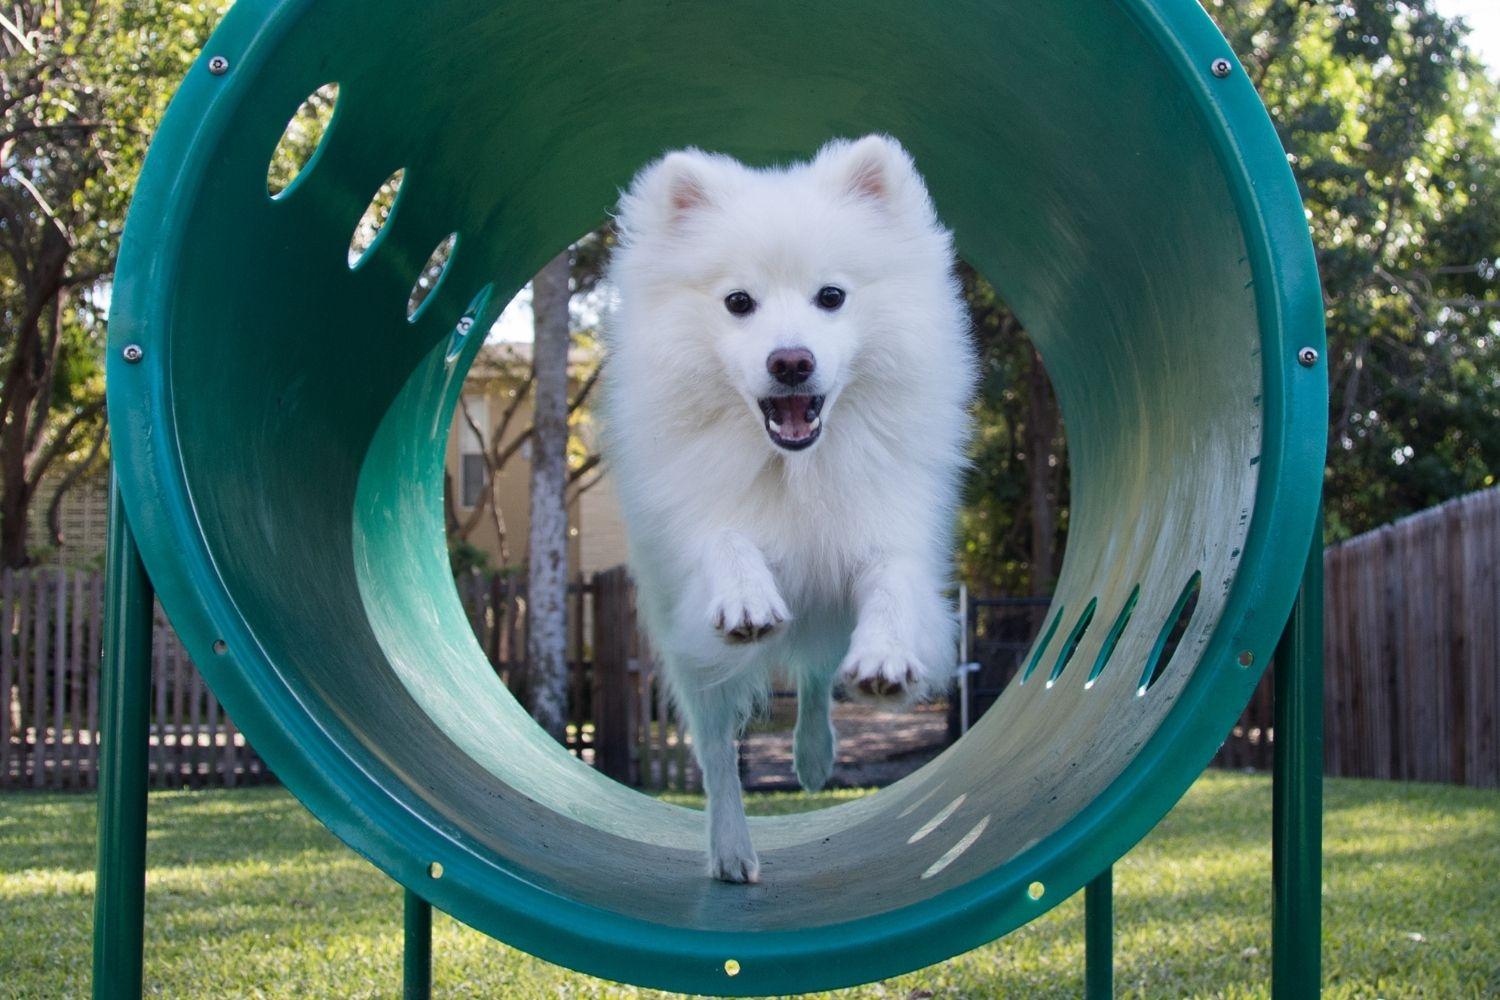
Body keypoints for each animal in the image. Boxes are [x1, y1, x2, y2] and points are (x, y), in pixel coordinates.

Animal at [603, 134, 978, 881]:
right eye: (738, 301)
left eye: (831, 297)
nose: (791, 362)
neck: (796, 466)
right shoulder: (700, 525)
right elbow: (725, 540)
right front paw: (747, 598)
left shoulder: (885, 529)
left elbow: (892, 587)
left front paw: (886, 658)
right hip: (695, 667)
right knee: (717, 752)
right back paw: (731, 851)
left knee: (813, 677)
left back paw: (812, 759)